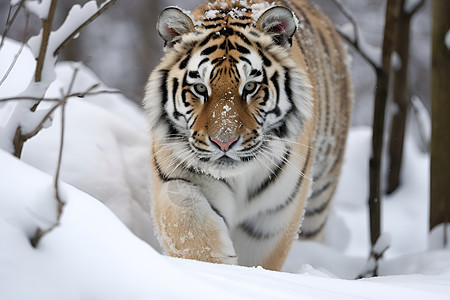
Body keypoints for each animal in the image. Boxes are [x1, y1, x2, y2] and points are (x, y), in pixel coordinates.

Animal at [143, 0, 352, 272]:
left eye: (250, 86)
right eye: (200, 88)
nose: (224, 142)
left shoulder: (271, 216)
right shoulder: (176, 180)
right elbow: (192, 236)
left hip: (321, 197)